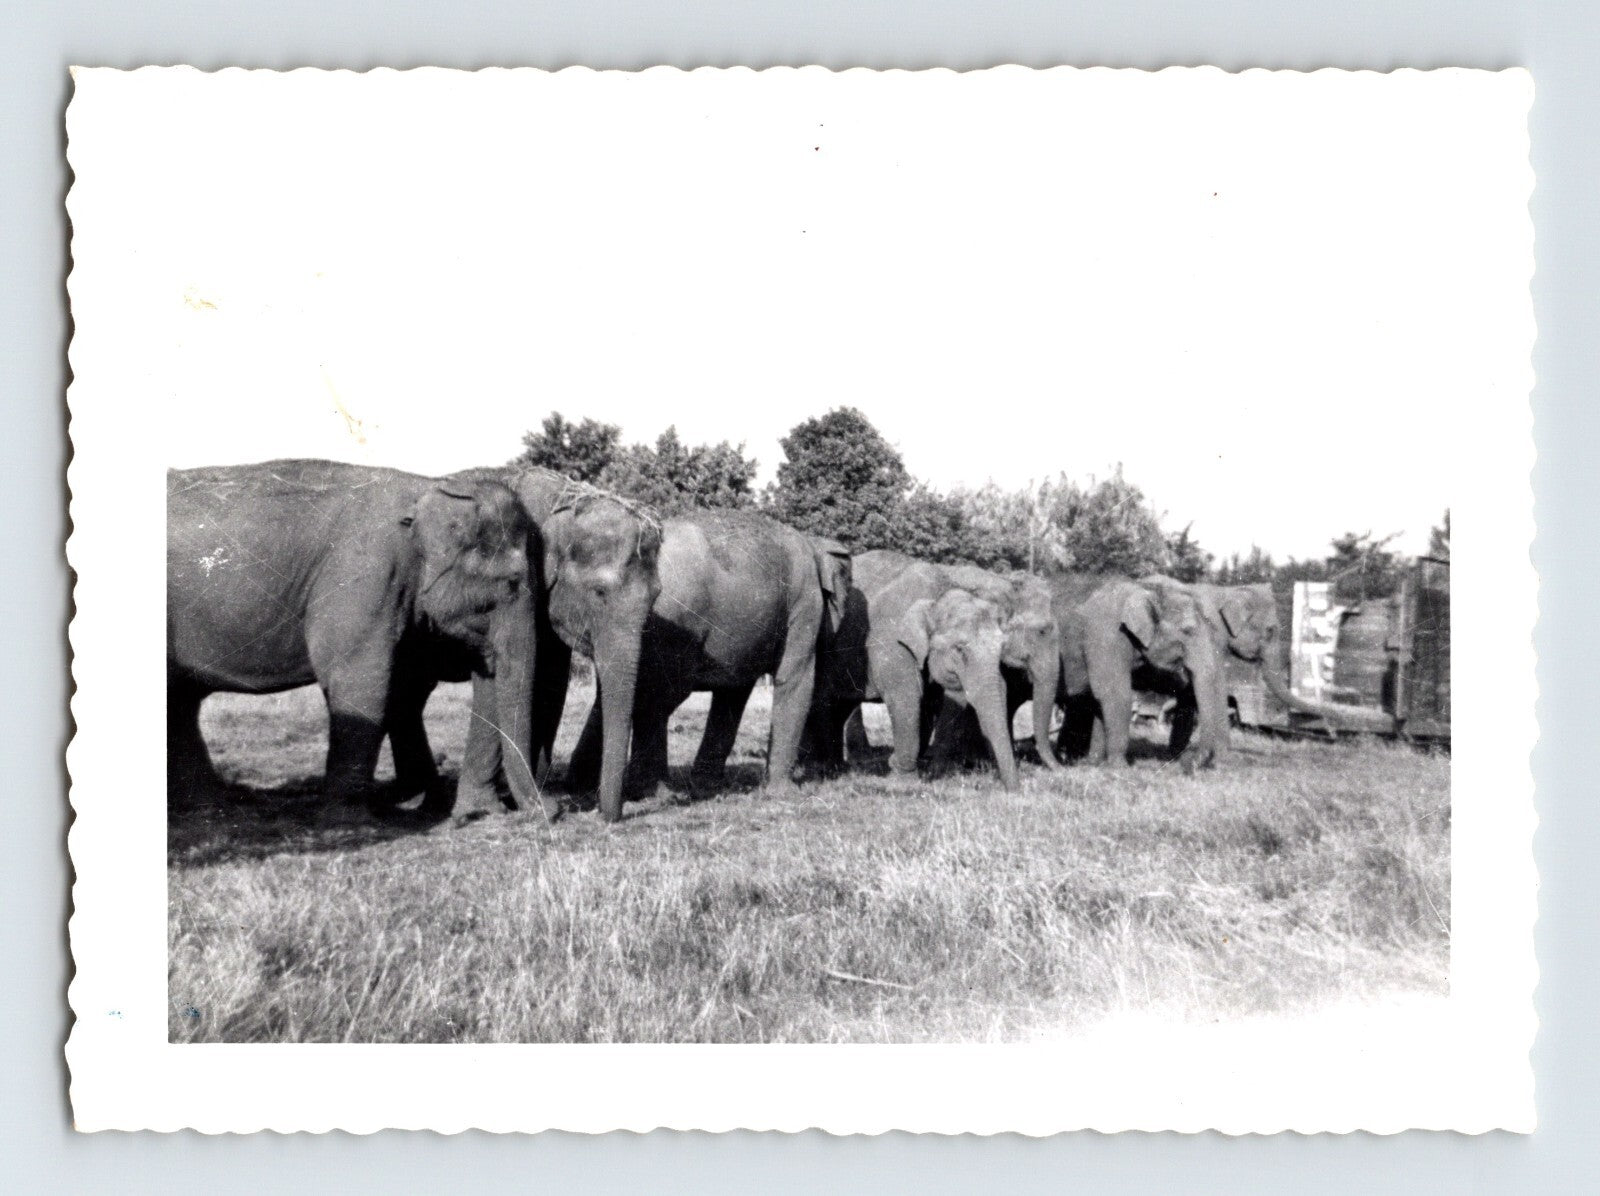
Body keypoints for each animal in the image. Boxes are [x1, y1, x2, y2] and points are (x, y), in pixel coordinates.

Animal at [166, 460, 539, 813]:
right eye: (513, 582)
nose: (546, 810)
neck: (429, 486)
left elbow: (402, 686)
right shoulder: (365, 576)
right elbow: (361, 681)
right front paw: (350, 820)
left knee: (182, 703)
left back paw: (210, 807)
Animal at [381, 466, 662, 824]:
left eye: (656, 596)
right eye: (599, 592)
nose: (603, 815)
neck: (565, 501)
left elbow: (551, 679)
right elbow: (542, 676)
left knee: (406, 697)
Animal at [566, 511, 850, 814]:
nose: (829, 770)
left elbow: (733, 693)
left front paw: (706, 785)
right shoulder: (804, 601)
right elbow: (796, 680)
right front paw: (786, 793)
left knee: (617, 696)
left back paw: (581, 785)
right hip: (673, 626)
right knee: (658, 700)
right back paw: (653, 794)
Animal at [811, 550, 1019, 791]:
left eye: (1002, 647)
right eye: (959, 649)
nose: (1013, 790)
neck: (937, 595)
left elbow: (936, 701)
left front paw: (912, 770)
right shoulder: (891, 643)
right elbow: (907, 698)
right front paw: (902, 782)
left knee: (838, 706)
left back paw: (837, 769)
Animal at [1049, 572, 1224, 771]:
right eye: (1187, 631)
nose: (1188, 764)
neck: (1145, 589)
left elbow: (1099, 699)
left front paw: (1093, 763)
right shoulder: (1107, 635)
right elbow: (1115, 694)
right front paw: (1120, 768)